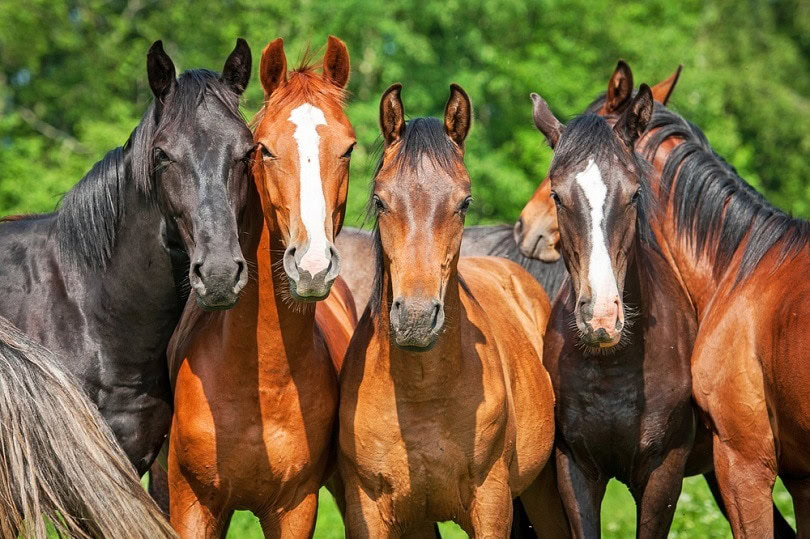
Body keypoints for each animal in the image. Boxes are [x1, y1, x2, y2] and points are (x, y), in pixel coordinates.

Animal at [167, 36, 356, 537]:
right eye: (264, 150)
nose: (312, 265)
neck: (260, 379)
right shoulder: (193, 504)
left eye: (348, 149)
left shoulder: (296, 507)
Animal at [338, 82, 566, 537]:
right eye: (380, 200)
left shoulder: (492, 506)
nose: (416, 320)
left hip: (545, 492)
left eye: (465, 202)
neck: (422, 394)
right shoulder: (373, 511)